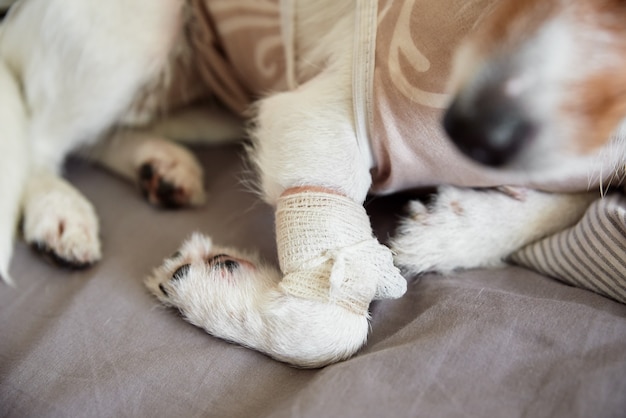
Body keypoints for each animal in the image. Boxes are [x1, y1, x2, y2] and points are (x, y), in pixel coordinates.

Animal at [0, 0, 620, 368]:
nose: (476, 129)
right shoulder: (320, 115)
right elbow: (329, 325)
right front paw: (209, 289)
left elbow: (572, 198)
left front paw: (456, 233)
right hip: (144, 22)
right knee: (39, 137)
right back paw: (59, 211)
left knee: (102, 132)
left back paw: (159, 164)